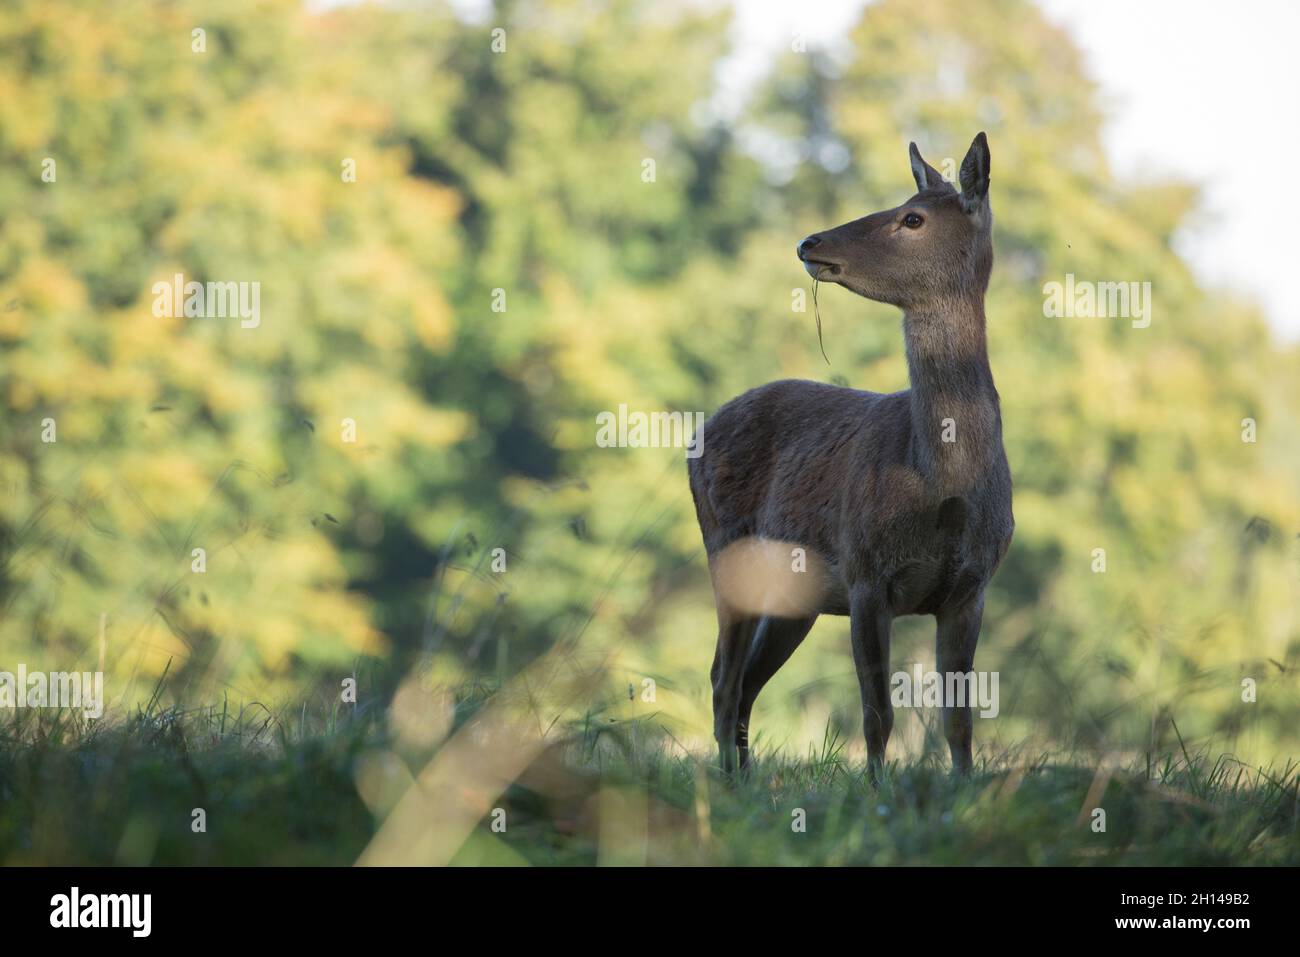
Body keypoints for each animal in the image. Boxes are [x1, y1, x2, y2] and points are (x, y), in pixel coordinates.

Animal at [687, 132, 1013, 782]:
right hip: (725, 546)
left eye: (912, 218)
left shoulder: (972, 587)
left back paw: (747, 780)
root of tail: (693, 438)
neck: (943, 485)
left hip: (795, 597)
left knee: (746, 682)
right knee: (722, 679)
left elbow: (959, 721)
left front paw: (965, 793)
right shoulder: (865, 571)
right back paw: (728, 785)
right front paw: (877, 793)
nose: (809, 242)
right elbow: (876, 714)